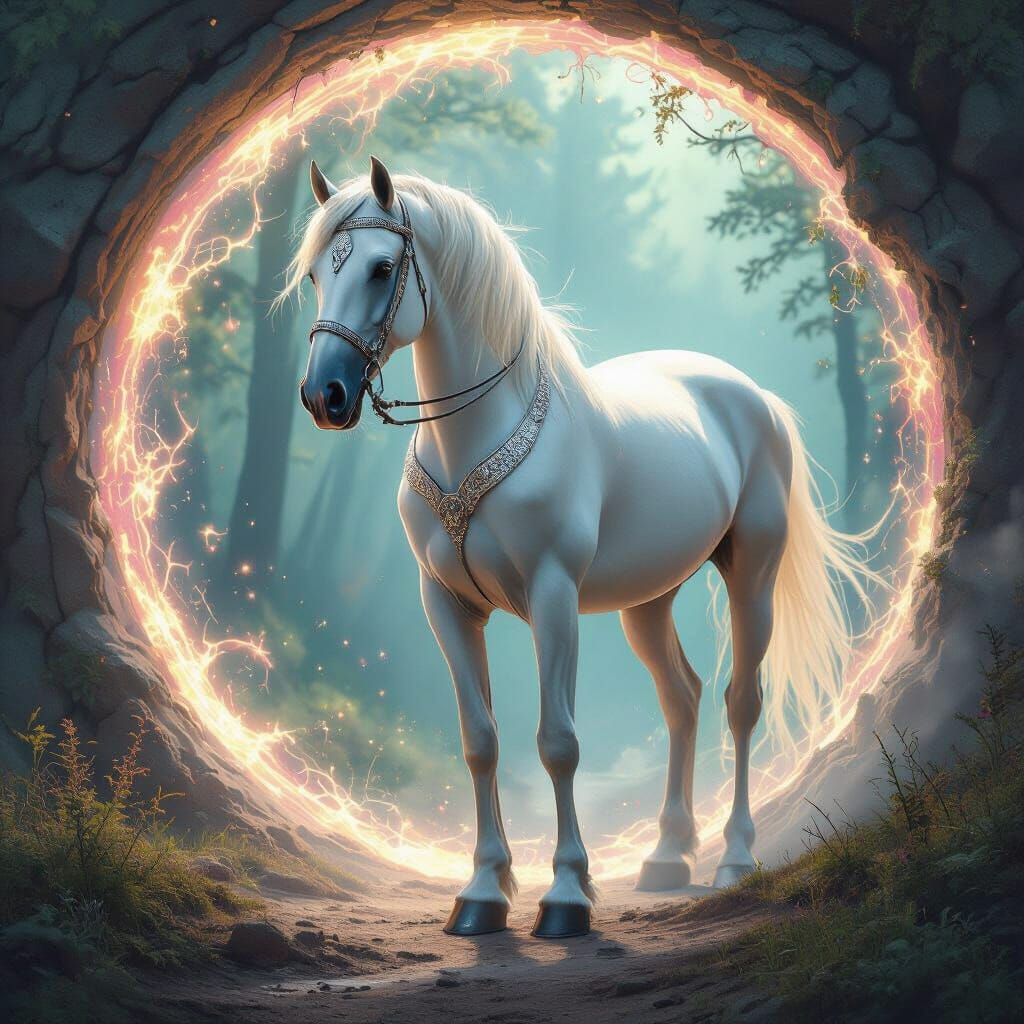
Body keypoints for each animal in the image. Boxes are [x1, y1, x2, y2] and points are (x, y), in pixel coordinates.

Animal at [281, 156, 878, 939]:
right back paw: (666, 856)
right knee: (681, 698)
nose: (326, 396)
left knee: (740, 702)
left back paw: (734, 859)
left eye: (383, 268)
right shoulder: (446, 606)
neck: (478, 437)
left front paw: (566, 895)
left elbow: (557, 743)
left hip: (752, 576)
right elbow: (480, 741)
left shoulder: (554, 598)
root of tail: (755, 398)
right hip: (649, 602)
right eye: (317, 273)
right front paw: (483, 892)